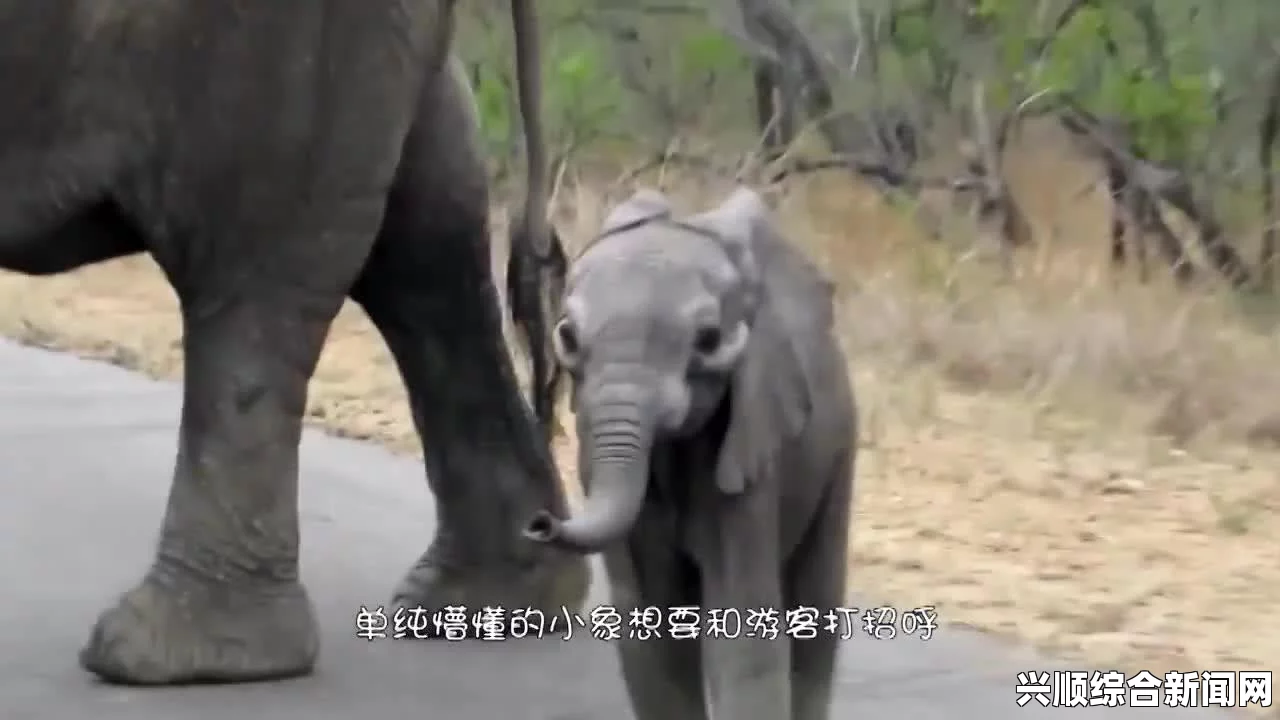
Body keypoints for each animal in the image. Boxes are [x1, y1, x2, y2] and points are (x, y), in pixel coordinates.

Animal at [524, 184, 855, 717]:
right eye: (568, 336)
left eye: (708, 339)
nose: (540, 522)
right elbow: (649, 630)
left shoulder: (750, 451)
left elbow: (744, 635)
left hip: (839, 446)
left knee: (816, 611)